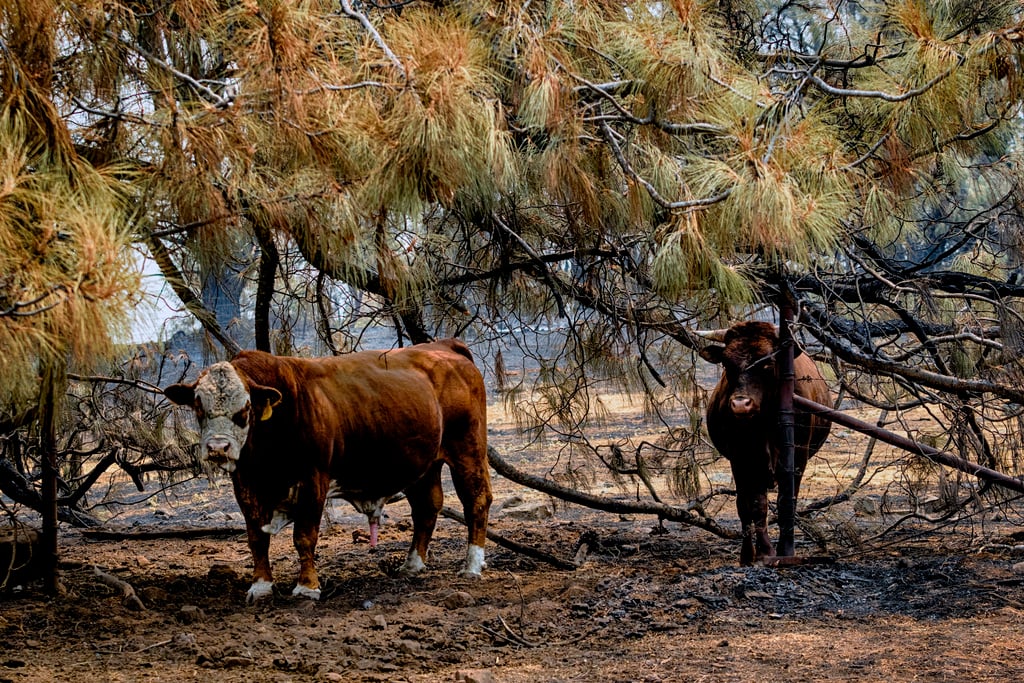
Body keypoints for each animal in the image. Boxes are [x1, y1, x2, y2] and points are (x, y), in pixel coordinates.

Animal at [163, 339, 491, 602]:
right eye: (198, 406)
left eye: (244, 409)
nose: (218, 448)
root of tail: (444, 346)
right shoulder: (245, 484)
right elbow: (257, 538)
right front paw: (261, 586)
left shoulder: (313, 481)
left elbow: (304, 537)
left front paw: (307, 587)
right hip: (424, 464)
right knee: (427, 507)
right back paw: (412, 565)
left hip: (467, 449)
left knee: (476, 501)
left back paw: (472, 565)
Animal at [696, 321, 831, 565]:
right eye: (726, 363)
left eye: (767, 364)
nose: (741, 404)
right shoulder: (742, 458)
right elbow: (752, 505)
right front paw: (756, 553)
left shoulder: (798, 457)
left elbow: (787, 500)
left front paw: (782, 549)